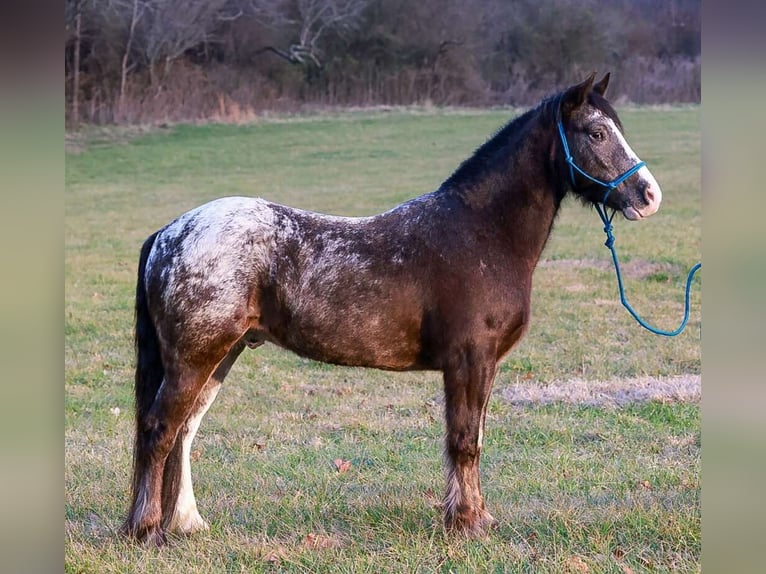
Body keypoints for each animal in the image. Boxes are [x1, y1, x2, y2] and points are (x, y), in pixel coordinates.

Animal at [122, 73, 662, 545]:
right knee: (160, 430)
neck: (482, 232)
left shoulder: (482, 365)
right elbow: (464, 440)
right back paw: (147, 530)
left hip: (220, 356)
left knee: (184, 433)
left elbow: (475, 437)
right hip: (195, 358)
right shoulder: (470, 360)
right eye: (596, 132)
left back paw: (185, 523)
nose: (649, 195)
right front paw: (467, 523)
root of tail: (171, 232)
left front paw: (474, 516)